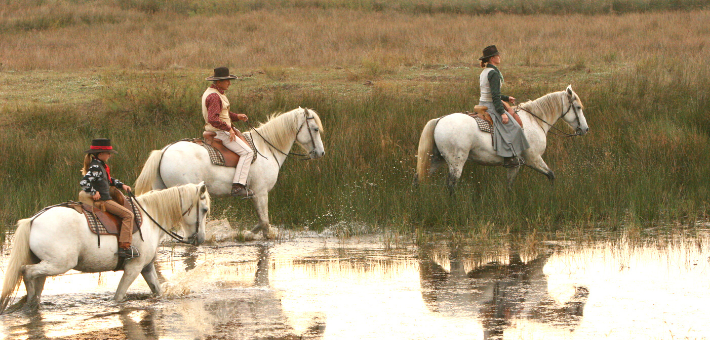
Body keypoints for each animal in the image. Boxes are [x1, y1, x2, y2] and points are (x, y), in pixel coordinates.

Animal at [0, 182, 211, 312]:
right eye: (205, 209)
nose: (200, 239)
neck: (151, 217)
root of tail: (33, 220)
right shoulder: (133, 268)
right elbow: (118, 296)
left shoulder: (147, 267)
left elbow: (156, 290)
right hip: (59, 264)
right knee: (26, 271)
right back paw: (28, 304)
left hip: (47, 265)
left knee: (35, 281)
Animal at [134, 107, 326, 238]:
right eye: (315, 129)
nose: (321, 153)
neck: (267, 148)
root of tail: (164, 151)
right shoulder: (261, 193)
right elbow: (264, 223)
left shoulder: (256, 195)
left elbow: (261, 222)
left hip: (161, 192)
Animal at [418, 85, 588, 191]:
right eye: (578, 107)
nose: (585, 129)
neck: (535, 120)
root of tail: (439, 120)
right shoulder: (533, 158)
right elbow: (551, 175)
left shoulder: (515, 165)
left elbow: (509, 186)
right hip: (456, 162)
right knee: (451, 185)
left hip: (436, 159)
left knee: (417, 180)